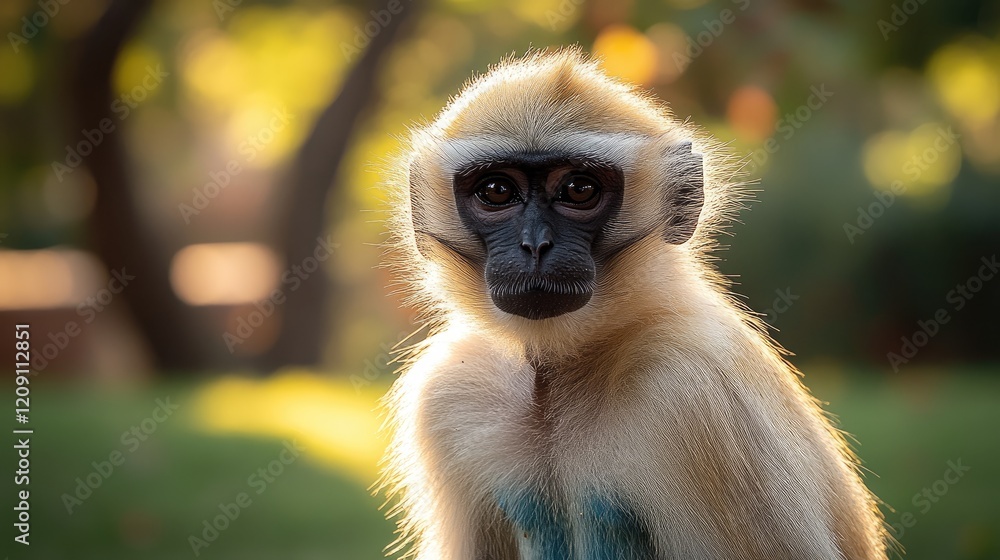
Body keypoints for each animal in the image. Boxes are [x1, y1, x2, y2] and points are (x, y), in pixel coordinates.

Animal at [379, 49, 888, 560]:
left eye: (579, 189)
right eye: (497, 191)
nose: (535, 245)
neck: (554, 379)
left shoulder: (696, 385)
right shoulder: (449, 388)